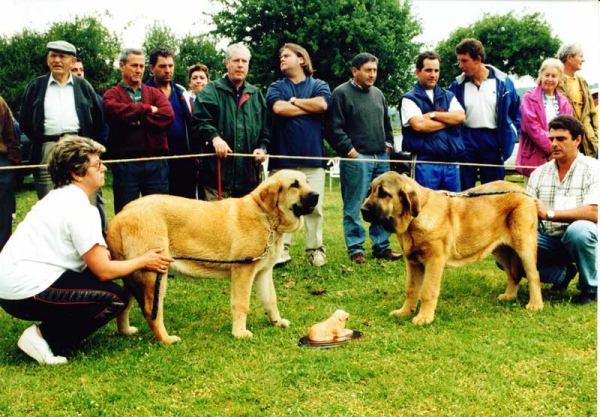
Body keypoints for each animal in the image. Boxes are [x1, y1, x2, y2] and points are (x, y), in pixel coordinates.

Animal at [106, 169, 318, 342]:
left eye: (307, 181)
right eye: (294, 185)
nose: (316, 195)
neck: (265, 216)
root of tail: (121, 215)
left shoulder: (263, 273)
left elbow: (270, 300)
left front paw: (277, 321)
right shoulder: (243, 271)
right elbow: (242, 304)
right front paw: (239, 332)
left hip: (132, 277)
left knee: (125, 306)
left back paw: (125, 331)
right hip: (155, 275)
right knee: (152, 311)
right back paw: (166, 339)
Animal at [360, 172, 544, 324]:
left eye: (384, 193)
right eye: (370, 191)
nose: (362, 209)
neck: (414, 219)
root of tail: (524, 191)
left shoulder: (434, 261)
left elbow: (427, 291)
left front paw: (424, 317)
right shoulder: (412, 263)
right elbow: (411, 289)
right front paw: (405, 311)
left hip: (524, 246)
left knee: (533, 275)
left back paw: (535, 304)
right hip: (501, 251)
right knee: (513, 275)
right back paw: (509, 296)